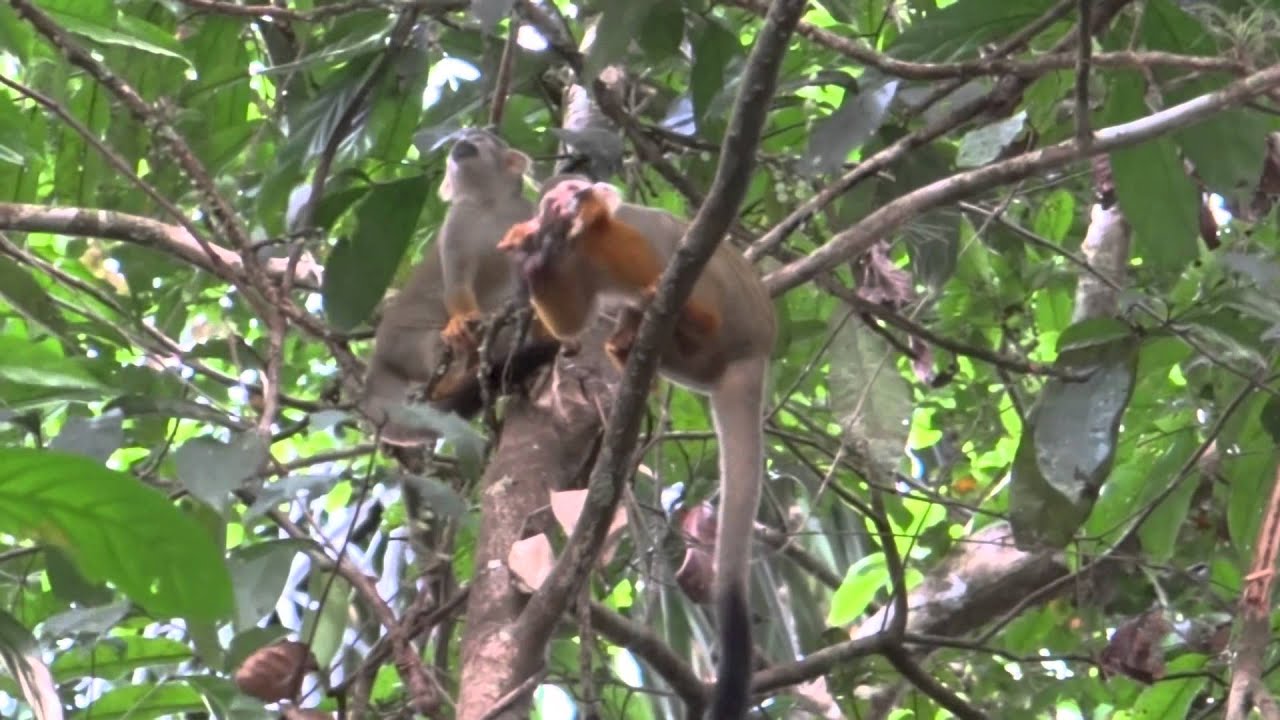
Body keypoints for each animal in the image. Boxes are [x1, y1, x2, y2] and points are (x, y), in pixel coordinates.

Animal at [360, 129, 560, 446]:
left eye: (479, 137)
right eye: (461, 136)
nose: (461, 141)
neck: (489, 204)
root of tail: (377, 359)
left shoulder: (524, 213)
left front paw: (543, 320)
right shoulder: (456, 221)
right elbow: (457, 281)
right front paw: (462, 320)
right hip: (401, 342)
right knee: (434, 343)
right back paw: (451, 379)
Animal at [498, 177, 776, 720]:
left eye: (577, 188)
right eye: (559, 193)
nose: (577, 192)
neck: (584, 245)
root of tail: (754, 355)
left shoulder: (624, 228)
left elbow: (662, 247)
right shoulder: (572, 260)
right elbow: (571, 323)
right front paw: (533, 260)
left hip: (733, 309)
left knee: (685, 258)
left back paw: (687, 316)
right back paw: (629, 343)